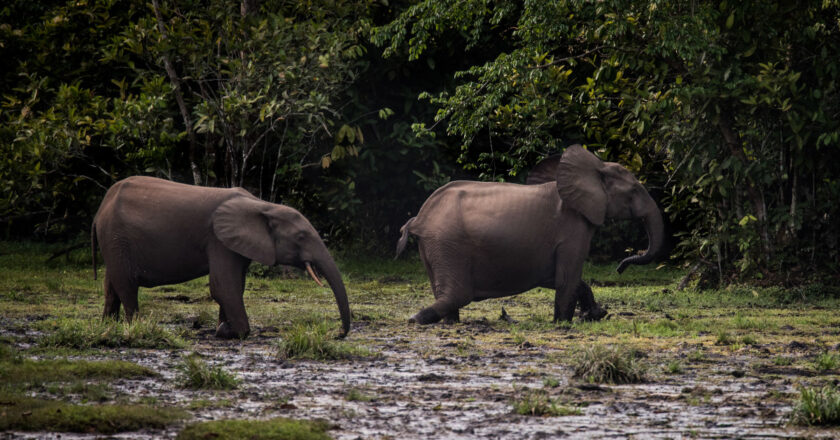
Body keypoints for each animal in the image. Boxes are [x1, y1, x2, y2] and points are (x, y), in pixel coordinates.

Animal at [92, 174, 352, 336]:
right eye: (300, 237)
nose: (338, 333)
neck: (263, 205)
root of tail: (100, 208)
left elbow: (235, 286)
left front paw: (223, 327)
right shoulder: (218, 239)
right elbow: (223, 286)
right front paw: (229, 331)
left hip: (114, 242)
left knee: (111, 285)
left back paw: (108, 326)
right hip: (116, 237)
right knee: (126, 286)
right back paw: (135, 326)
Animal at [398, 144, 668, 324]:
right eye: (634, 191)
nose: (620, 267)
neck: (594, 167)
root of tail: (419, 218)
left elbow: (558, 278)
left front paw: (595, 315)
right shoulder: (573, 229)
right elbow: (566, 279)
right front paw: (563, 324)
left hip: (434, 245)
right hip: (448, 243)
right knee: (458, 294)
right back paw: (415, 318)